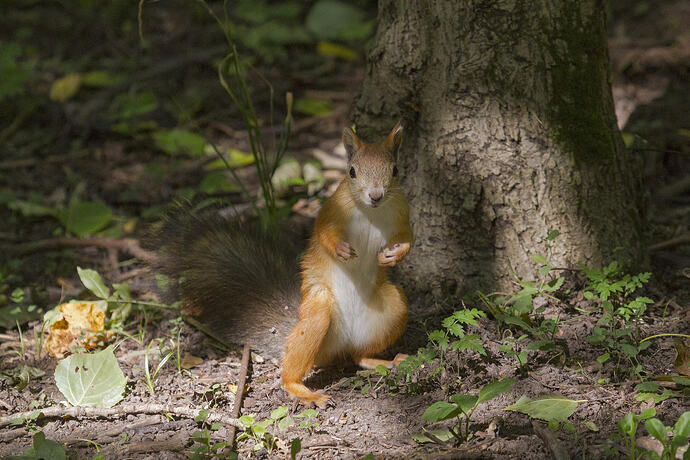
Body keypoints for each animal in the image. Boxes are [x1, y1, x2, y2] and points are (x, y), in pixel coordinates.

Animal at [154, 123, 413, 407]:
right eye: (352, 172)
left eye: (395, 170)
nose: (376, 195)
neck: (370, 212)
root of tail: (340, 344)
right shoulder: (332, 211)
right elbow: (323, 233)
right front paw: (341, 250)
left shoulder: (402, 213)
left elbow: (408, 238)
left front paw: (394, 255)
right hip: (318, 312)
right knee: (292, 371)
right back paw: (304, 391)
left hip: (394, 306)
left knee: (359, 356)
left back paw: (385, 360)